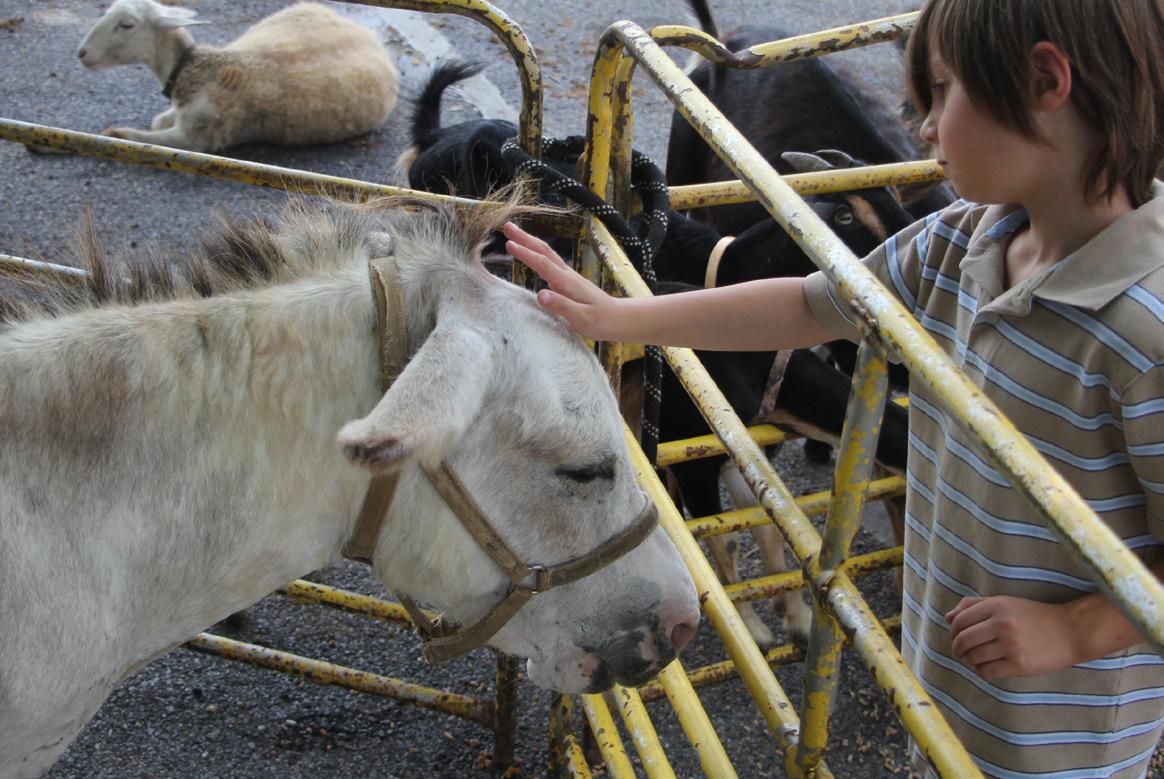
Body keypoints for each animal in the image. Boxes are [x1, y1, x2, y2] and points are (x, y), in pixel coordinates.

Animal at [76, 0, 399, 153]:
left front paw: (111, 133)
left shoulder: (195, 140)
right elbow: (157, 120)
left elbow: (127, 136)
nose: (81, 53)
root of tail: (369, 36)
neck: (195, 70)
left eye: (127, 25)